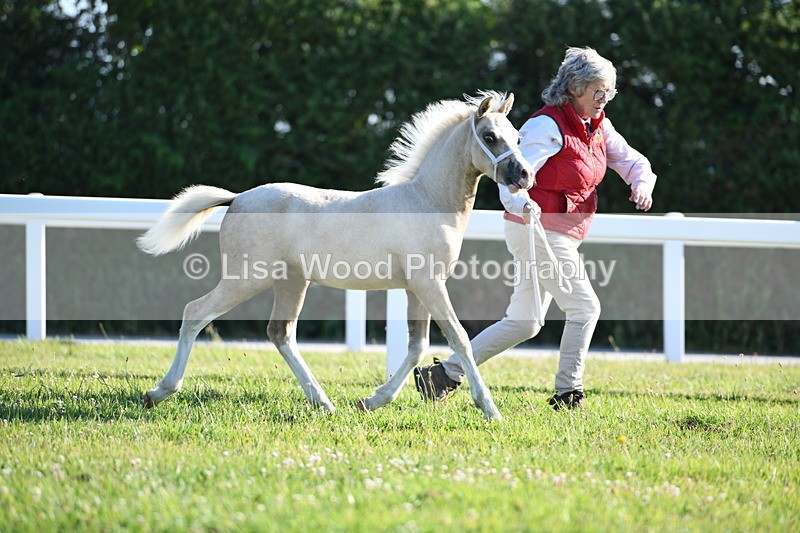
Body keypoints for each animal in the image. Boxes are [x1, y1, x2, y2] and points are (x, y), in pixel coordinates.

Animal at [137, 91, 533, 420]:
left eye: (517, 137)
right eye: (490, 137)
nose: (524, 175)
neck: (427, 202)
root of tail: (236, 198)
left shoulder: (416, 288)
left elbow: (416, 345)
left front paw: (372, 401)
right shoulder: (429, 284)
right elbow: (458, 338)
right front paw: (490, 409)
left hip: (291, 282)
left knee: (280, 333)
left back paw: (323, 403)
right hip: (246, 278)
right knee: (196, 313)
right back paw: (159, 392)